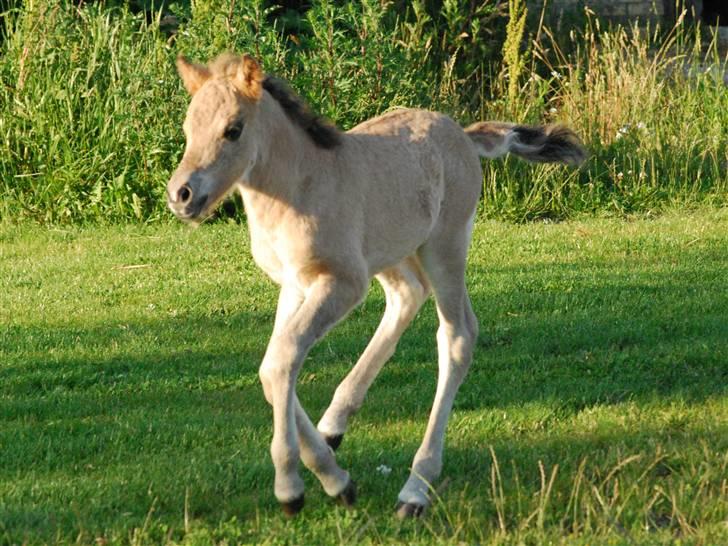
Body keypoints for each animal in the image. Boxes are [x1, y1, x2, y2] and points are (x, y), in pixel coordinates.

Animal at [166, 53, 584, 516]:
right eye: (187, 128)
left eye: (233, 129)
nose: (181, 195)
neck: (300, 186)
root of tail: (461, 132)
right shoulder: (294, 285)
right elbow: (273, 368)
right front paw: (335, 478)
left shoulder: (342, 283)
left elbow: (281, 361)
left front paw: (295, 486)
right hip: (392, 252)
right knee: (408, 295)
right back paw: (334, 425)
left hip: (444, 246)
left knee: (456, 336)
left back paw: (415, 489)